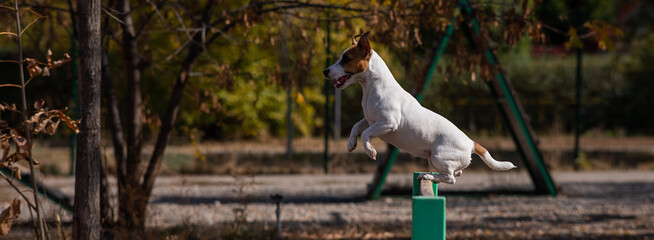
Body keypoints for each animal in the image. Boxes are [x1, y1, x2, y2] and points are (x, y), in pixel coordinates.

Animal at [322, 31, 516, 184]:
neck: (372, 87)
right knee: (456, 173)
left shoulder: (387, 123)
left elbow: (366, 134)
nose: (325, 71)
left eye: (346, 59)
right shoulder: (370, 119)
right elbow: (357, 127)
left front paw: (370, 151)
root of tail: (470, 142)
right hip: (435, 159)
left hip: (439, 157)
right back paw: (430, 175)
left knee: (451, 178)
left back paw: (429, 177)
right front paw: (351, 143)